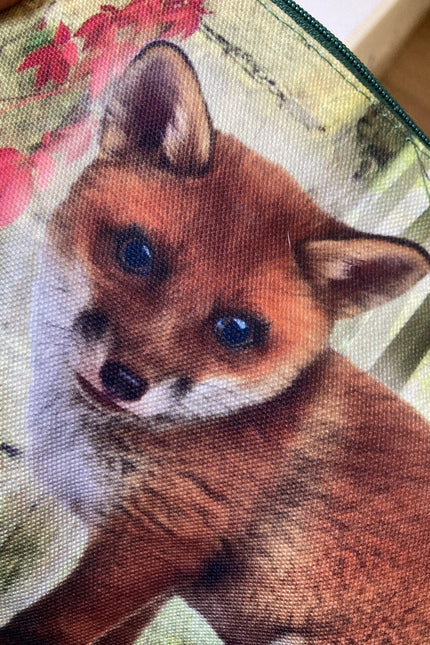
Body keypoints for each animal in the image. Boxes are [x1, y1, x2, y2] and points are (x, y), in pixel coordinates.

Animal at [1, 40, 430, 645]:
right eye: (137, 254)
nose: (124, 381)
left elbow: (41, 627)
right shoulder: (157, 579)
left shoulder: (156, 542)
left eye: (236, 329)